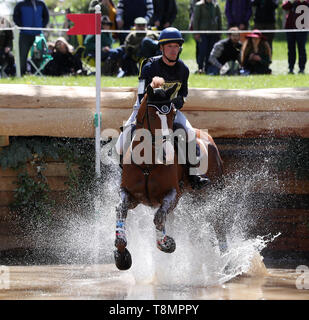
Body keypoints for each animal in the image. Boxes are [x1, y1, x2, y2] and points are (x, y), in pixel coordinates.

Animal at [113, 81, 221, 268]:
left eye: (171, 114)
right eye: (152, 115)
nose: (165, 149)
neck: (148, 163)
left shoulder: (173, 194)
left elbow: (158, 217)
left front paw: (166, 243)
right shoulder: (130, 195)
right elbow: (121, 210)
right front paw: (121, 255)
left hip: (211, 192)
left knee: (218, 223)